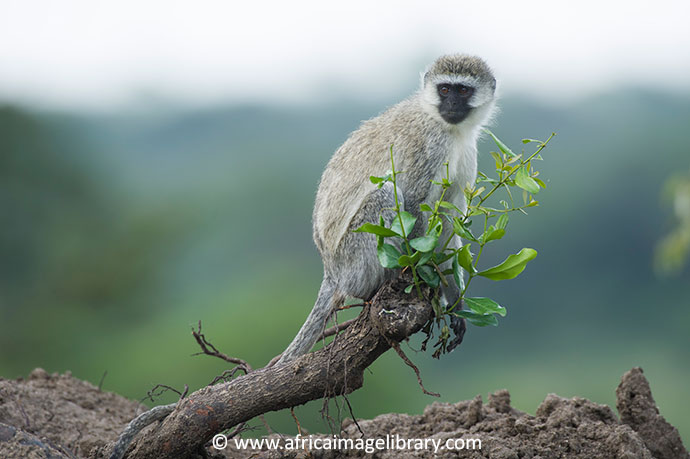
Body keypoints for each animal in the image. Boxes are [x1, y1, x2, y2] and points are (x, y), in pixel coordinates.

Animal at [276, 54, 498, 366]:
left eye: (463, 90)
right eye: (444, 89)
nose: (452, 104)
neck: (447, 127)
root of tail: (331, 270)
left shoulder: (467, 154)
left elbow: (448, 219)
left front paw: (454, 300)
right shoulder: (430, 145)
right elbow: (415, 203)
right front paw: (423, 277)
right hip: (355, 258)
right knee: (384, 194)